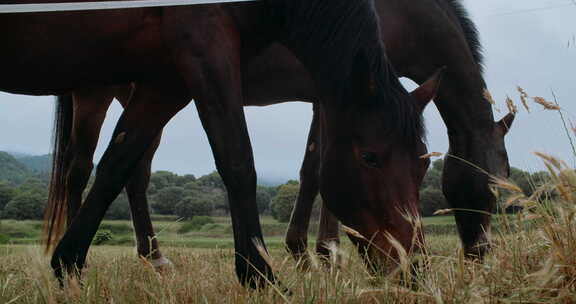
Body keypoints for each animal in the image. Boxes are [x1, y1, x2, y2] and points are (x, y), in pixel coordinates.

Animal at [47, 0, 516, 270]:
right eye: (489, 190)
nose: (481, 257)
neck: (398, 16)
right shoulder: (334, 97)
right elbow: (315, 171)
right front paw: (316, 252)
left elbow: (316, 167)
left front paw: (319, 250)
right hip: (96, 93)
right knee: (80, 168)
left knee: (133, 170)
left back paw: (153, 257)